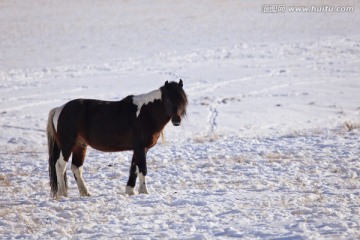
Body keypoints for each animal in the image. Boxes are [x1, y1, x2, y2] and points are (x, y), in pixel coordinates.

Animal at [47, 79, 188, 198]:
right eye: (168, 99)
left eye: (182, 100)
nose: (177, 120)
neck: (145, 114)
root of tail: (59, 109)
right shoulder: (140, 148)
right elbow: (142, 169)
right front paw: (144, 192)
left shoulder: (139, 149)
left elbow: (134, 168)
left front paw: (130, 191)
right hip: (67, 146)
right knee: (60, 165)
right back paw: (63, 194)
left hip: (80, 146)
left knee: (76, 168)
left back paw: (85, 193)